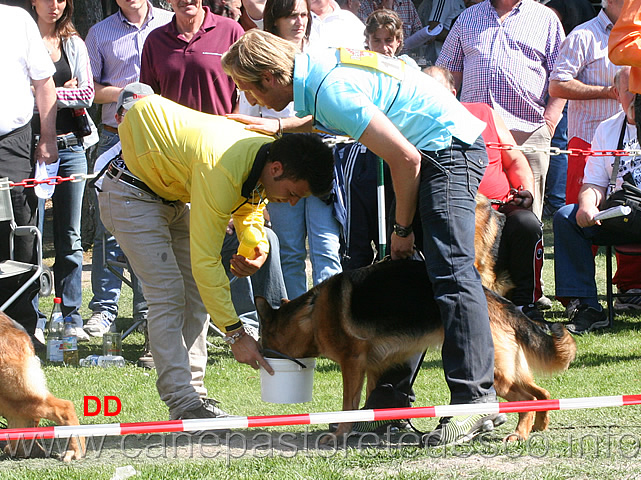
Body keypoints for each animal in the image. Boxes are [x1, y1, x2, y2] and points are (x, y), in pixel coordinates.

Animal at [255, 260, 576, 440]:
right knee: (542, 393)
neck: (310, 314)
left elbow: (349, 404)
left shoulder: (352, 363)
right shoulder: (373, 367)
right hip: (510, 370)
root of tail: (497, 300)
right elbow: (374, 398)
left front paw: (341, 434)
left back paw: (519, 434)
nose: (257, 358)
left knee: (526, 399)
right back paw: (539, 426)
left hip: (497, 377)